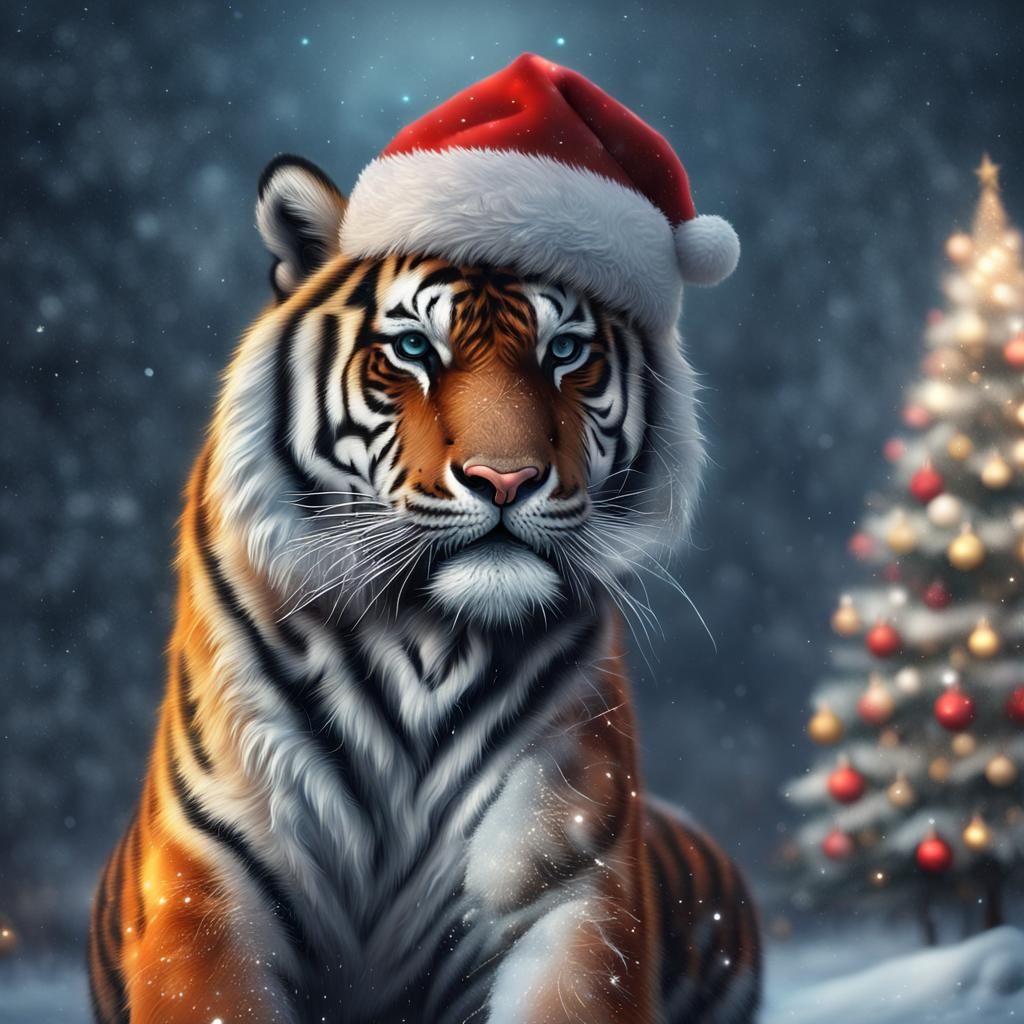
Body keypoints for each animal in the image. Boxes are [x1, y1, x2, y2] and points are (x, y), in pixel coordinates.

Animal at [89, 57, 760, 1024]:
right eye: (412, 349)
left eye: (566, 352)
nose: (505, 480)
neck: (427, 642)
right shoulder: (206, 881)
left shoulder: (575, 879)